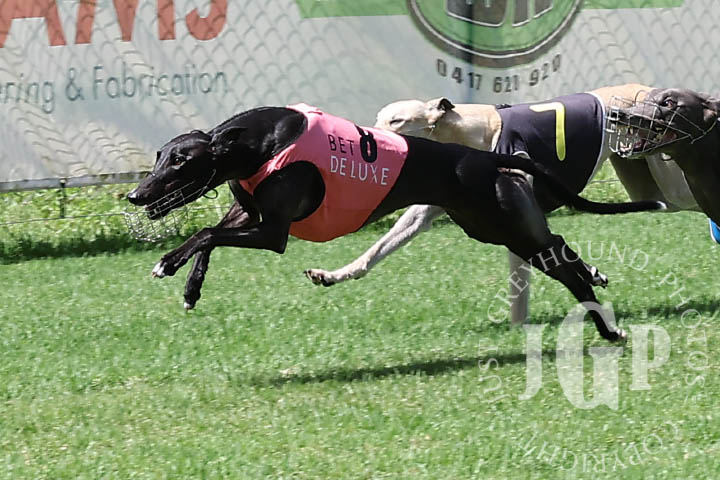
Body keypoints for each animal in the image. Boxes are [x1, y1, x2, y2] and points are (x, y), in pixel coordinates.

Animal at [126, 103, 665, 342]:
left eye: (180, 161)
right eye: (159, 156)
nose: (135, 194)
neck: (261, 141)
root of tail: (486, 159)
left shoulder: (272, 231)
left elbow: (204, 234)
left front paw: (167, 264)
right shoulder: (248, 213)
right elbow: (208, 242)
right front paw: (190, 287)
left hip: (504, 226)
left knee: (565, 266)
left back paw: (608, 329)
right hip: (493, 226)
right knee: (562, 247)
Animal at [303, 85, 719, 324]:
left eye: (398, 120)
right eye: (378, 117)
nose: (364, 137)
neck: (472, 131)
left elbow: (538, 256)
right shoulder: (430, 209)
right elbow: (375, 251)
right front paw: (333, 273)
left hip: (668, 180)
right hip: (642, 177)